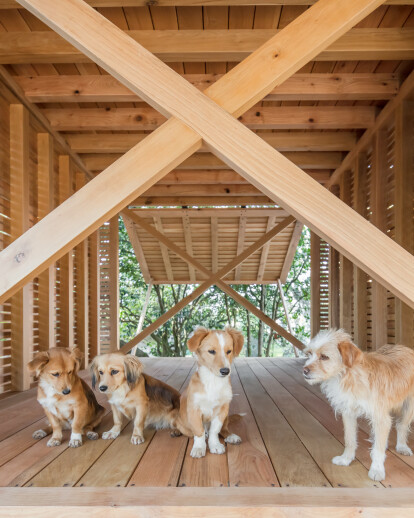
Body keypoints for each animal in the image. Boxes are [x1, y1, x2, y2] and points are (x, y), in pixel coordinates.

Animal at [175, 328, 246, 462]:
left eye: (229, 351)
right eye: (211, 351)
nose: (225, 371)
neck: (213, 382)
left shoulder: (222, 410)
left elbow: (215, 430)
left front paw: (215, 445)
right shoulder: (194, 410)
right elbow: (199, 432)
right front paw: (199, 448)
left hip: (226, 416)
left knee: (223, 429)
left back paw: (231, 436)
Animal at [302, 332, 414, 486]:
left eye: (324, 357)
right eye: (309, 354)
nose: (304, 370)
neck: (349, 376)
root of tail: (407, 348)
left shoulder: (381, 418)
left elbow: (378, 449)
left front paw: (377, 469)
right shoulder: (348, 413)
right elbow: (349, 439)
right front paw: (346, 459)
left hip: (409, 408)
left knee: (401, 426)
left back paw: (402, 446)